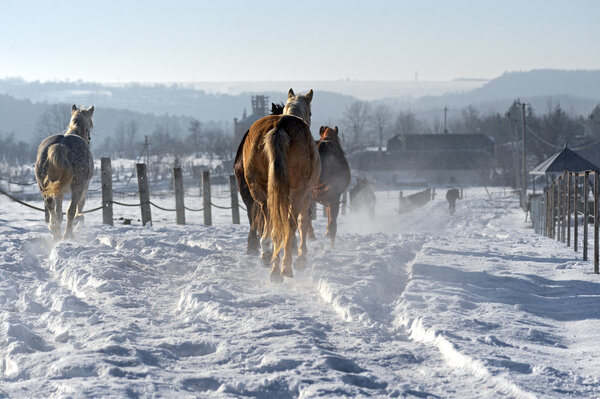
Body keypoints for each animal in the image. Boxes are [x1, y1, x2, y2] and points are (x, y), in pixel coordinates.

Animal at [35, 104, 94, 239]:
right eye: (90, 124)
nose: (89, 139)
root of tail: (60, 145)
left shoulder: (58, 192)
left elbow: (58, 212)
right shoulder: (85, 186)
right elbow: (80, 205)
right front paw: (79, 219)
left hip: (45, 189)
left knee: (52, 211)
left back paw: (56, 234)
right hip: (77, 187)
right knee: (70, 211)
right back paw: (68, 235)